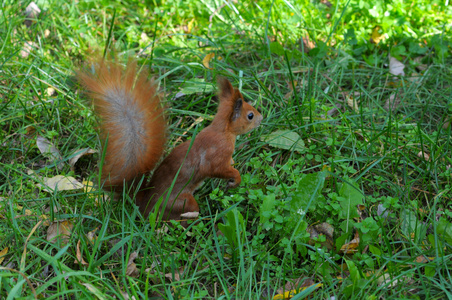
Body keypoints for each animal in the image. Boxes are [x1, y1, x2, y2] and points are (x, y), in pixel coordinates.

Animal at [77, 58, 262, 220]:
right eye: (250, 115)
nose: (261, 118)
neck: (223, 131)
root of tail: (144, 202)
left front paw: (233, 163)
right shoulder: (216, 154)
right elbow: (217, 169)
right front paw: (236, 178)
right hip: (181, 202)